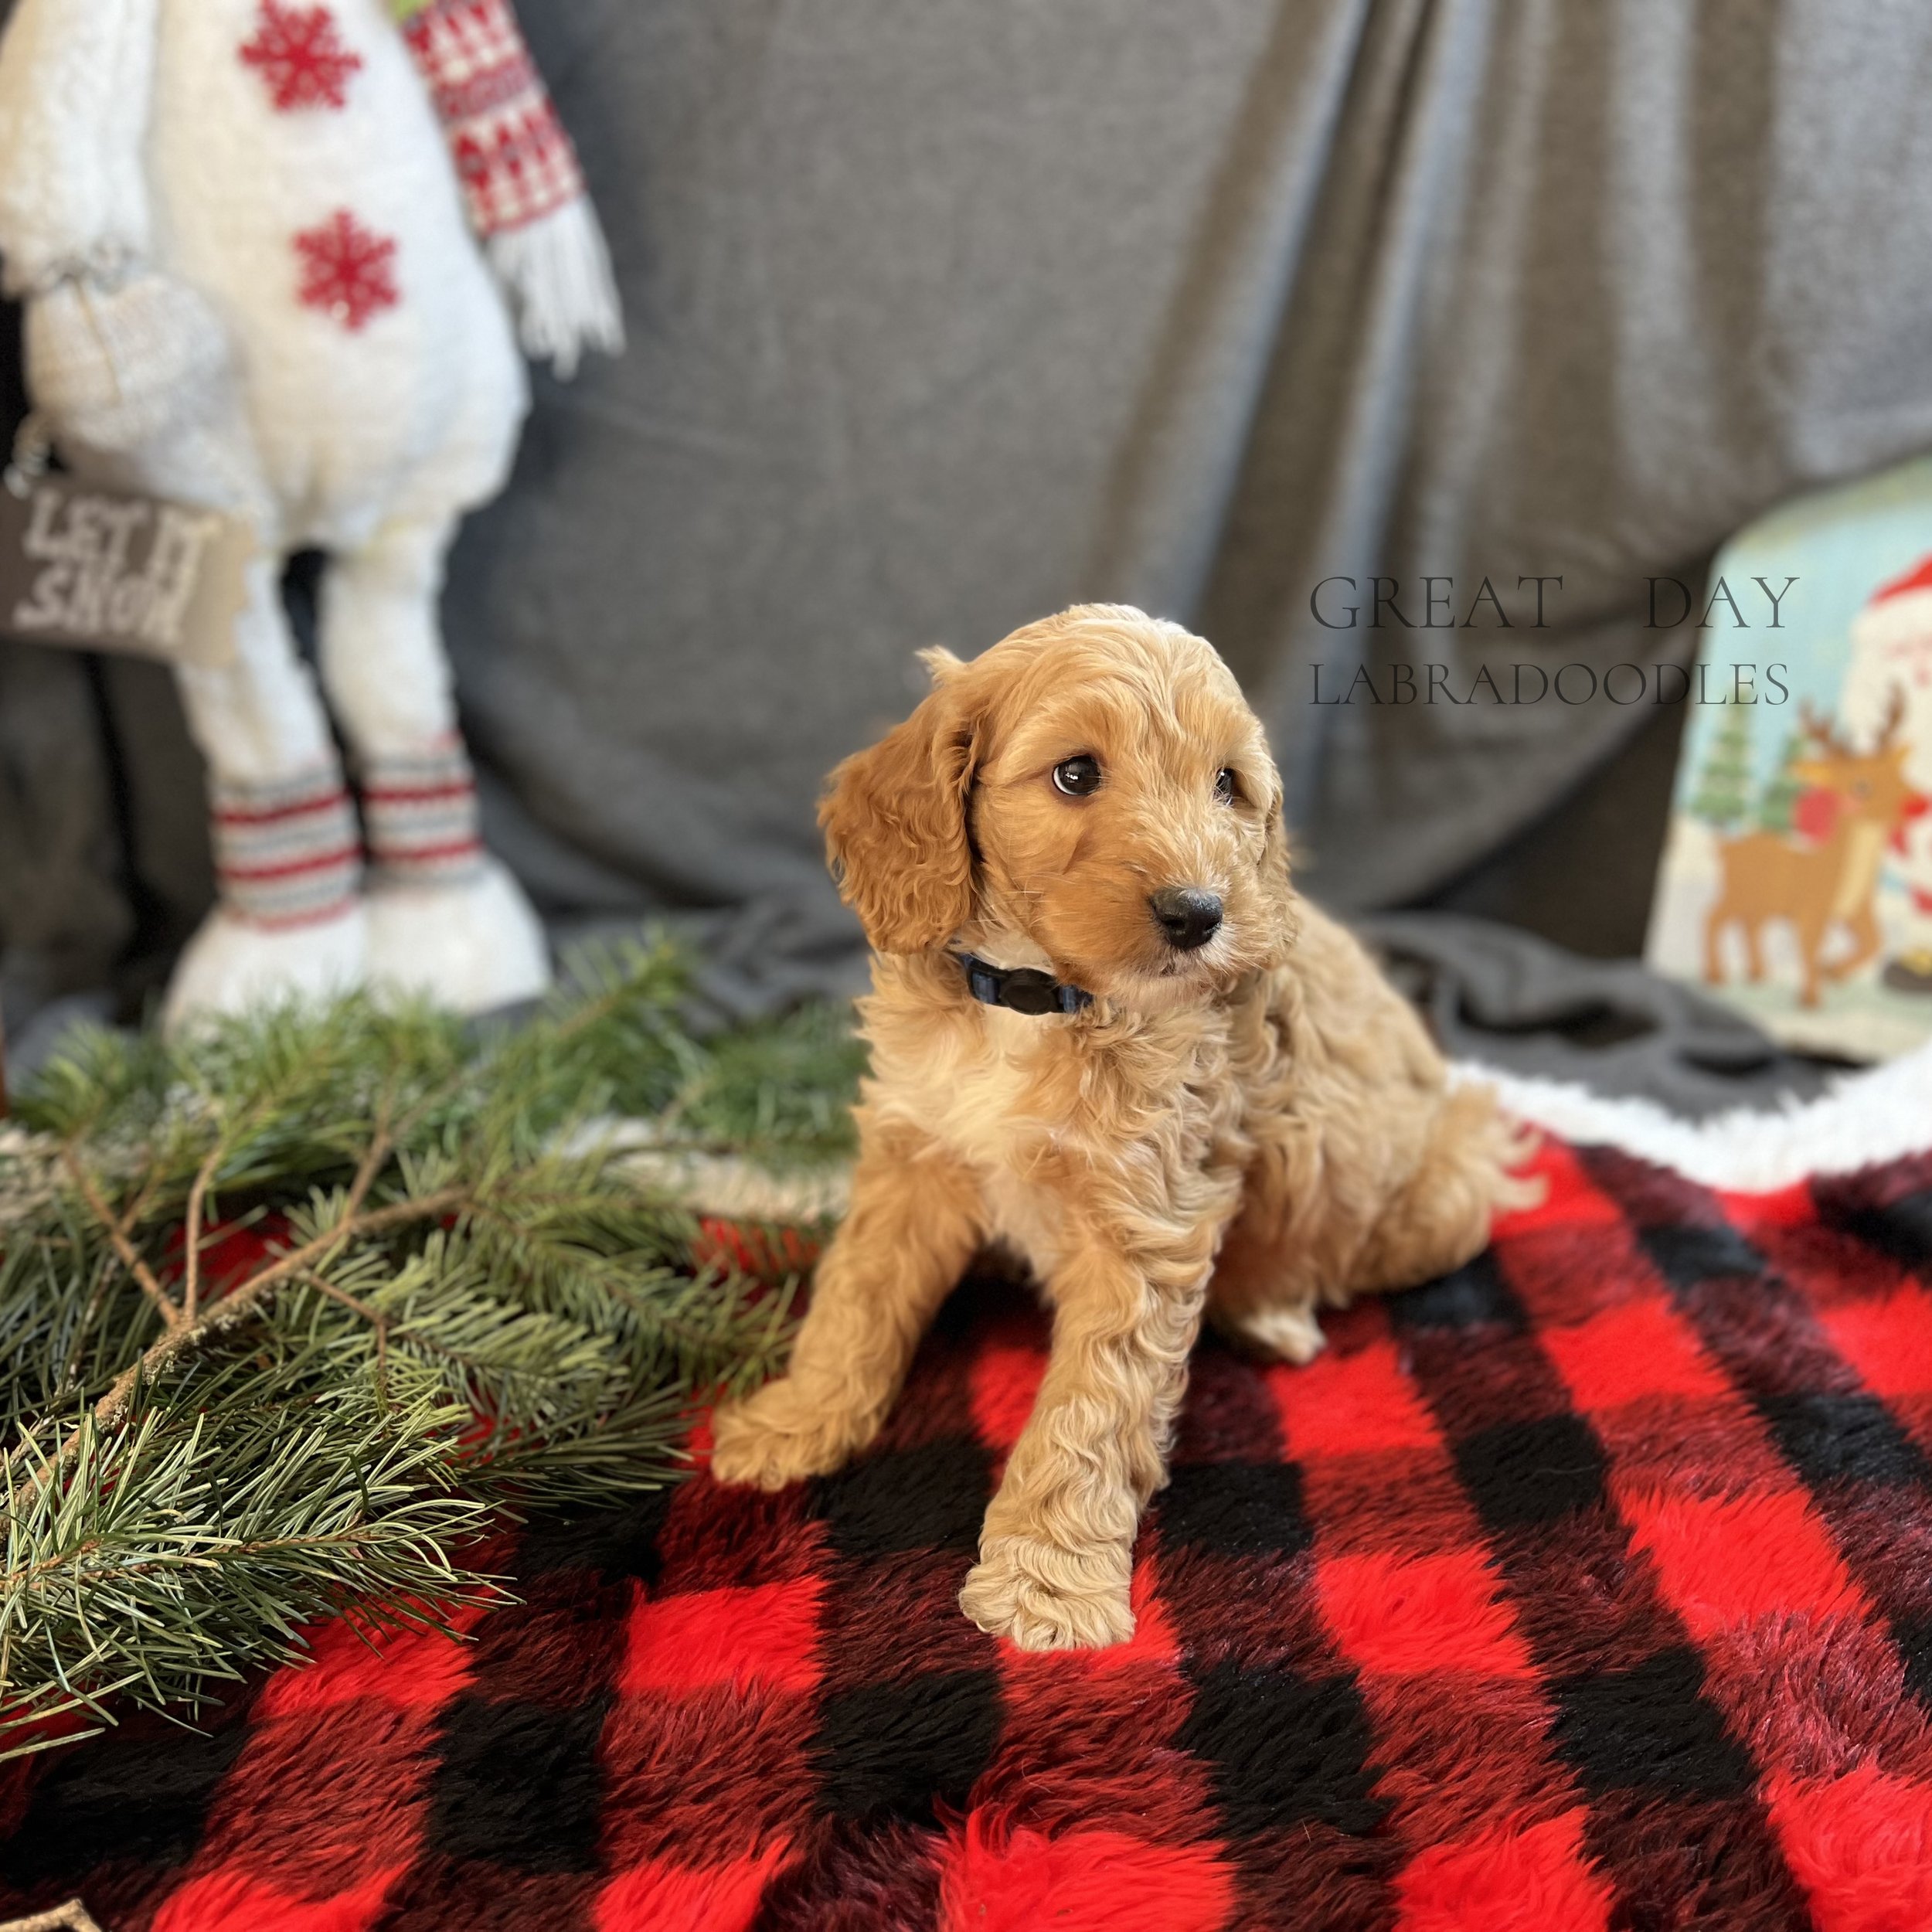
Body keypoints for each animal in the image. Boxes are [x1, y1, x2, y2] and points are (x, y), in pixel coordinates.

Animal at [707, 599, 1522, 1646]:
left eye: (1227, 784)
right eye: (1075, 773)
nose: (1199, 913)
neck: (1036, 999)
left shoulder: (1145, 1223)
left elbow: (1091, 1410)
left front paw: (1045, 1586)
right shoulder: (916, 1153)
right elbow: (856, 1296)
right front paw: (794, 1422)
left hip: (1444, 1184)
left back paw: (1274, 1314)